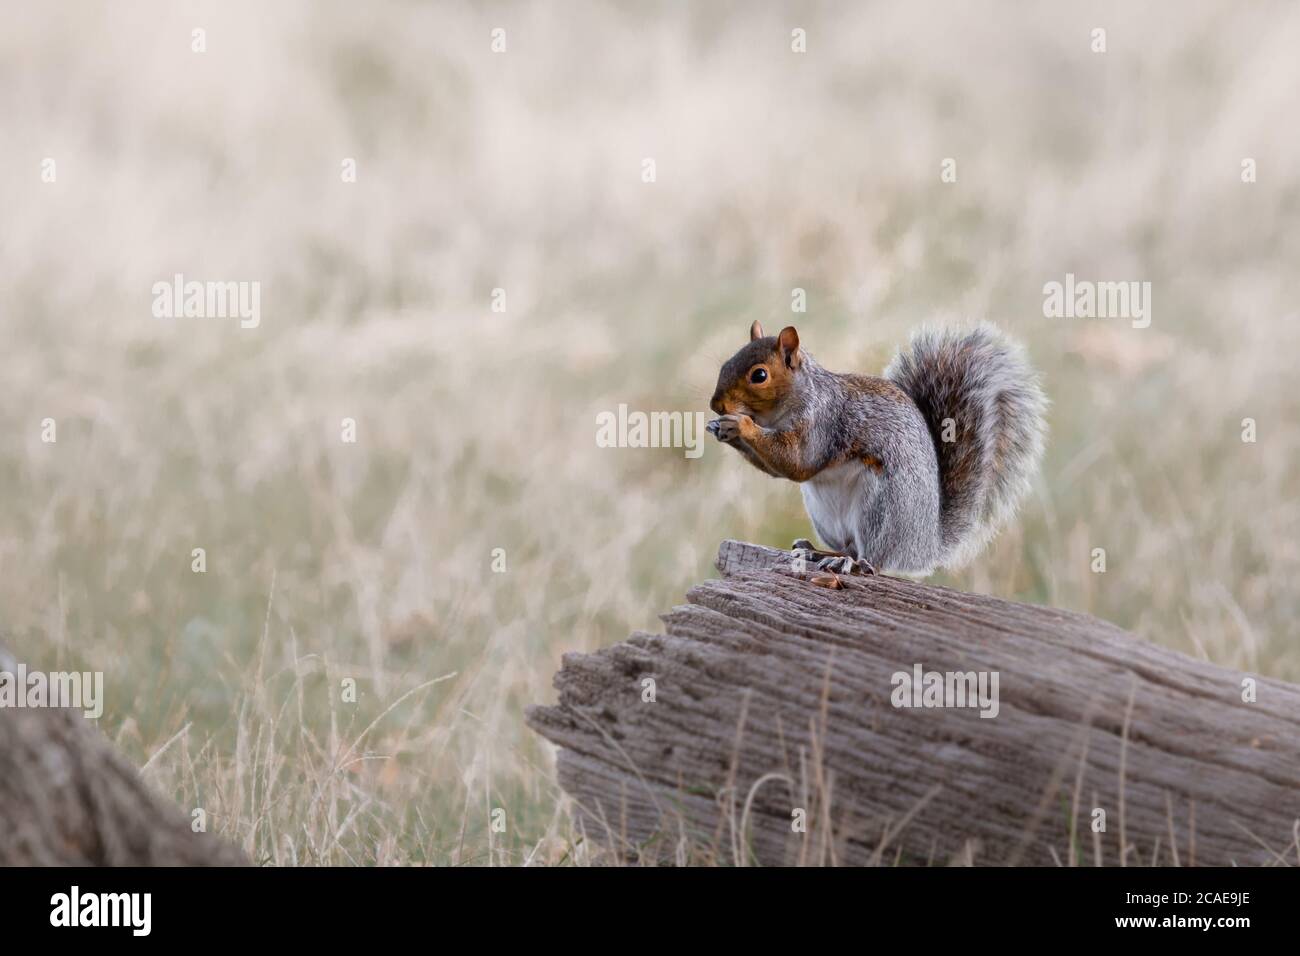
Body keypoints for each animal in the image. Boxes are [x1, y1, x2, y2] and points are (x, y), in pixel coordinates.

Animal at [707, 320, 1046, 576]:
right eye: (725, 364)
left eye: (759, 375)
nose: (716, 405)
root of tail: (923, 548)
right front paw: (720, 428)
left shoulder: (822, 424)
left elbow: (797, 462)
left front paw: (741, 425)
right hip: (825, 515)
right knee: (848, 546)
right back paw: (820, 553)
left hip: (882, 508)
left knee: (874, 560)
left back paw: (852, 564)